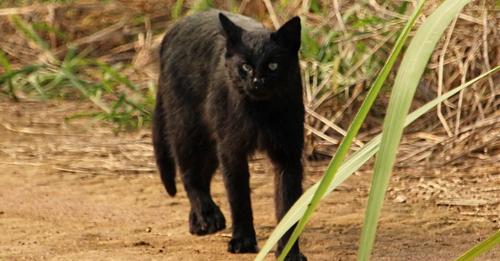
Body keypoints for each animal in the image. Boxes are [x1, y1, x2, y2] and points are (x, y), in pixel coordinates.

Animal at [152, 9, 306, 258]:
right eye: (245, 66)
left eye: (273, 66)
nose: (257, 81)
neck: (259, 112)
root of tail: (176, 26)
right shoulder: (231, 150)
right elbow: (238, 197)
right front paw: (243, 241)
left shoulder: (288, 153)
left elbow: (288, 205)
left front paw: (289, 252)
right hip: (189, 130)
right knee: (189, 175)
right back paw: (209, 216)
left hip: (209, 145)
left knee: (202, 175)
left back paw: (199, 222)